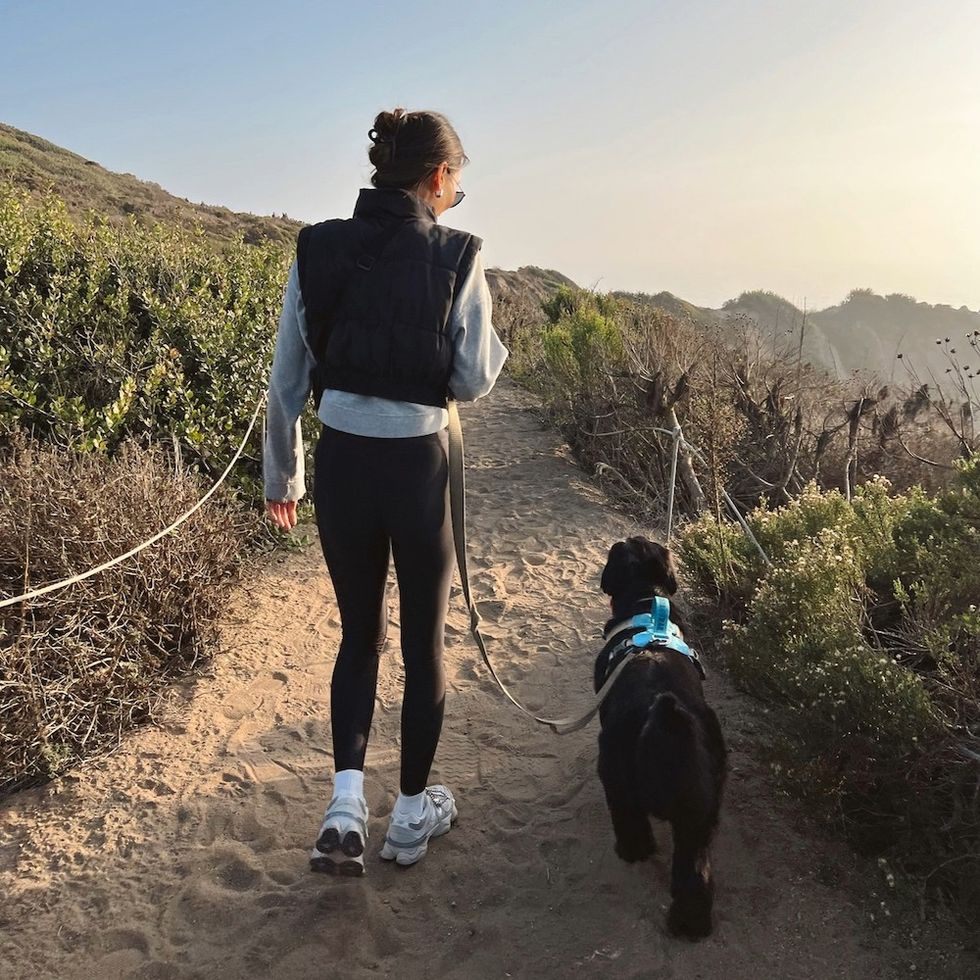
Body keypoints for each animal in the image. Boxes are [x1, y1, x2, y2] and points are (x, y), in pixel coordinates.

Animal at [592, 540, 724, 936]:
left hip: (616, 775)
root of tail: (663, 714)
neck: (646, 602)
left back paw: (631, 850)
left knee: (632, 825)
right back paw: (691, 924)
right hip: (700, 816)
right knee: (695, 873)